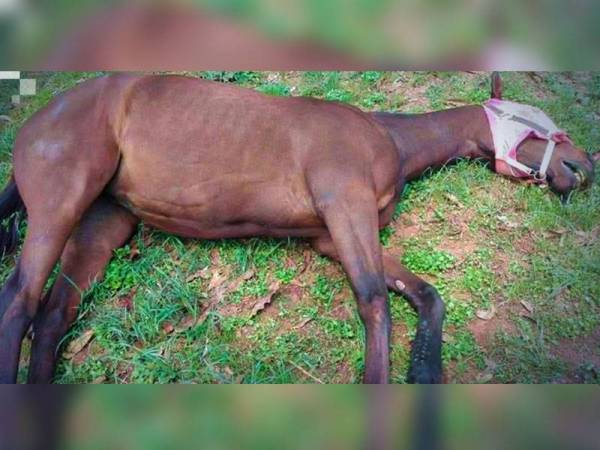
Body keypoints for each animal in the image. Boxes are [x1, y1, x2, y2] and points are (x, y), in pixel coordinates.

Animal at [0, 72, 597, 384]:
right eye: (532, 120)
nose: (583, 166)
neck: (388, 139)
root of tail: (36, 121)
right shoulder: (344, 204)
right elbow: (374, 301)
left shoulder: (332, 234)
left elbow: (426, 294)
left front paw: (425, 372)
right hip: (64, 197)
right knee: (20, 301)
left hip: (104, 219)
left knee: (51, 316)